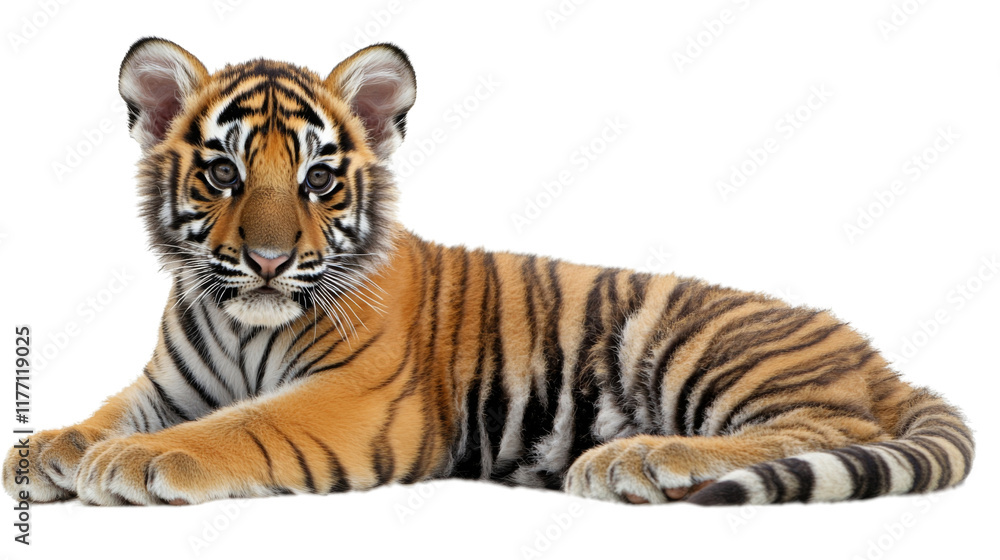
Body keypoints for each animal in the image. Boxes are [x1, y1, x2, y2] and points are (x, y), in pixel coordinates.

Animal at [3, 37, 973, 507]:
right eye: (222, 174)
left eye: (318, 179)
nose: (270, 261)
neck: (242, 322)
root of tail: (882, 361)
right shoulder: (167, 382)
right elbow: (105, 413)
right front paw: (44, 448)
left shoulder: (357, 401)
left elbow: (238, 426)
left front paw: (134, 460)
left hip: (696, 341)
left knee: (823, 429)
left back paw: (640, 458)